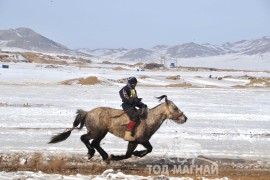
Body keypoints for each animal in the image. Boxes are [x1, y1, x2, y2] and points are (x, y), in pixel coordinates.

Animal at [49, 95, 188, 161]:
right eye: (175, 108)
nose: (185, 118)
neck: (148, 119)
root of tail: (87, 113)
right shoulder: (140, 140)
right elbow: (141, 151)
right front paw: (116, 157)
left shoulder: (136, 141)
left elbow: (134, 153)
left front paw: (119, 156)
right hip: (97, 132)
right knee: (86, 139)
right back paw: (93, 154)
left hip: (100, 133)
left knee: (93, 142)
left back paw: (103, 156)